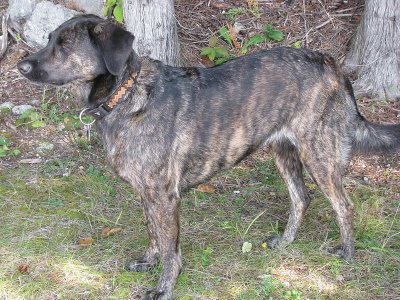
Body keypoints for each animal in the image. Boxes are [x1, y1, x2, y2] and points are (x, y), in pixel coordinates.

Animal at [18, 14, 400, 300]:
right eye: (49, 39)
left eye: (64, 46)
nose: (21, 66)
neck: (126, 95)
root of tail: (332, 65)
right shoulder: (147, 193)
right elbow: (153, 233)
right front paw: (147, 261)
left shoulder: (164, 196)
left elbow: (171, 249)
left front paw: (164, 287)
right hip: (284, 151)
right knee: (301, 198)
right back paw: (285, 242)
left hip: (318, 154)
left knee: (344, 205)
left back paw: (347, 252)